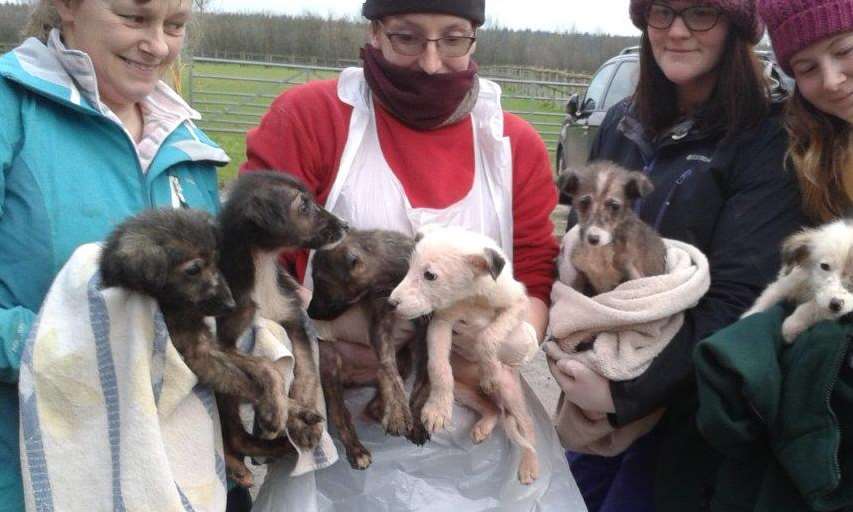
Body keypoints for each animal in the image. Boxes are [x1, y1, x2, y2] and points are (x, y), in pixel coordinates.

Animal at [216, 172, 350, 484]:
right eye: (304, 206)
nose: (345, 226)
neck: (262, 267)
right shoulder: (220, 341)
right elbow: (267, 368)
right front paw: (287, 414)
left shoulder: (293, 319)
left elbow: (306, 368)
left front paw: (307, 411)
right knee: (234, 435)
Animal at [306, 230, 430, 470]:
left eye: (322, 282)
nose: (308, 312)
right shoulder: (380, 321)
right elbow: (390, 370)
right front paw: (399, 412)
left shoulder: (430, 329)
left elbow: (422, 385)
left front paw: (416, 421)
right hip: (328, 360)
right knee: (340, 414)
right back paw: (357, 451)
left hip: (404, 360)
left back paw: (382, 410)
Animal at [388, 225, 540, 484]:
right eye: (409, 267)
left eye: (430, 275)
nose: (391, 303)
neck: (470, 297)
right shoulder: (440, 323)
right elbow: (438, 365)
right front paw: (437, 410)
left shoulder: (518, 303)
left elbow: (488, 335)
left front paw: (489, 373)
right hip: (461, 390)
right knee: (492, 409)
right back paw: (483, 426)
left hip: (510, 390)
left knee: (528, 427)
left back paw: (530, 465)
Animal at [556, 162, 668, 294]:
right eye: (584, 202)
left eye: (614, 206)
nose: (593, 239)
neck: (600, 250)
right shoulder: (578, 275)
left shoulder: (632, 272)